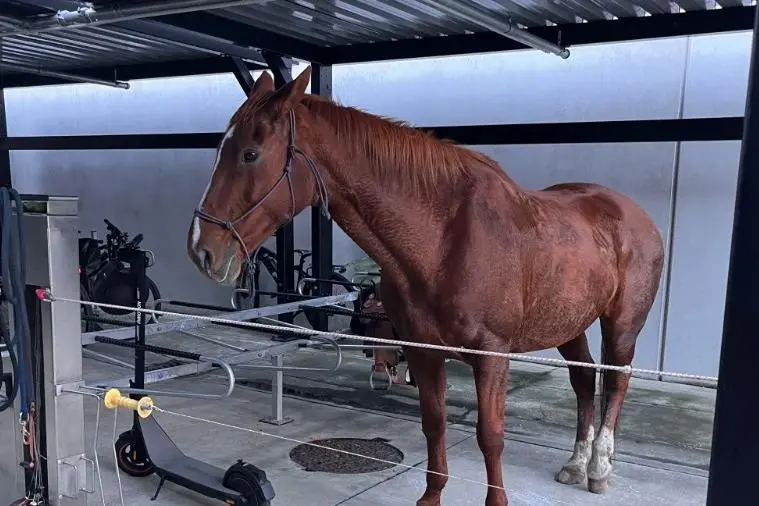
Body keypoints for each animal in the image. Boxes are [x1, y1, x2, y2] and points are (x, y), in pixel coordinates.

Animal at [187, 67, 665, 506]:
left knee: (616, 382)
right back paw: (575, 463)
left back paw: (599, 467)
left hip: (621, 325)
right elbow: (434, 424)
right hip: (570, 324)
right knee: (584, 382)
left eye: (250, 154)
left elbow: (491, 435)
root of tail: (634, 214)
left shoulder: (492, 356)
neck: (443, 241)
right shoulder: (422, 350)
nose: (201, 250)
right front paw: (431, 496)